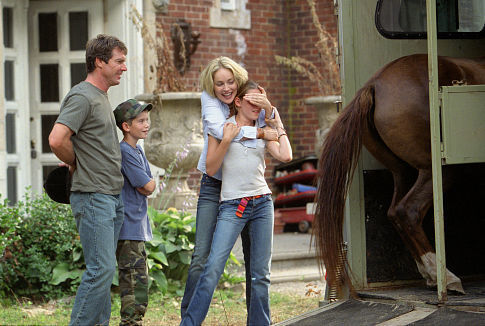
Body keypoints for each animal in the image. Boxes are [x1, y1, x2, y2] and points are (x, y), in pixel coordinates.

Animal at [312, 54, 484, 296]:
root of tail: (375, 84)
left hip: (403, 172)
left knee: (395, 212)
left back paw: (431, 274)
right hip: (437, 171)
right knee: (408, 211)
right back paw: (445, 277)